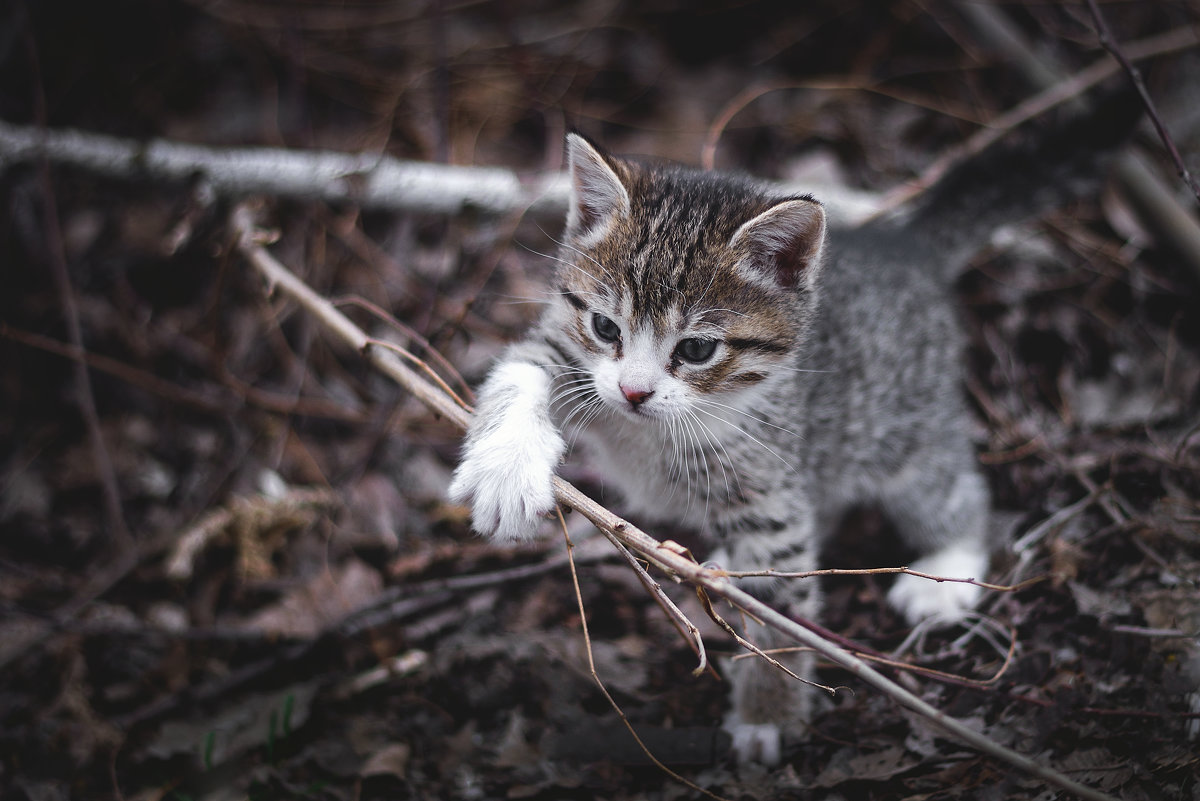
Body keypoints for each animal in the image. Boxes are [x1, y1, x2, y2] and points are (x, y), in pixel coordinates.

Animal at [448, 103, 1132, 767]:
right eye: (605, 327)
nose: (634, 393)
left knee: (951, 489)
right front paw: (505, 471)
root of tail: (903, 247)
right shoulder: (566, 354)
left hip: (904, 432)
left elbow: (781, 605)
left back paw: (949, 566)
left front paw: (767, 713)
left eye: (696, 350)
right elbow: (520, 370)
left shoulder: (772, 491)